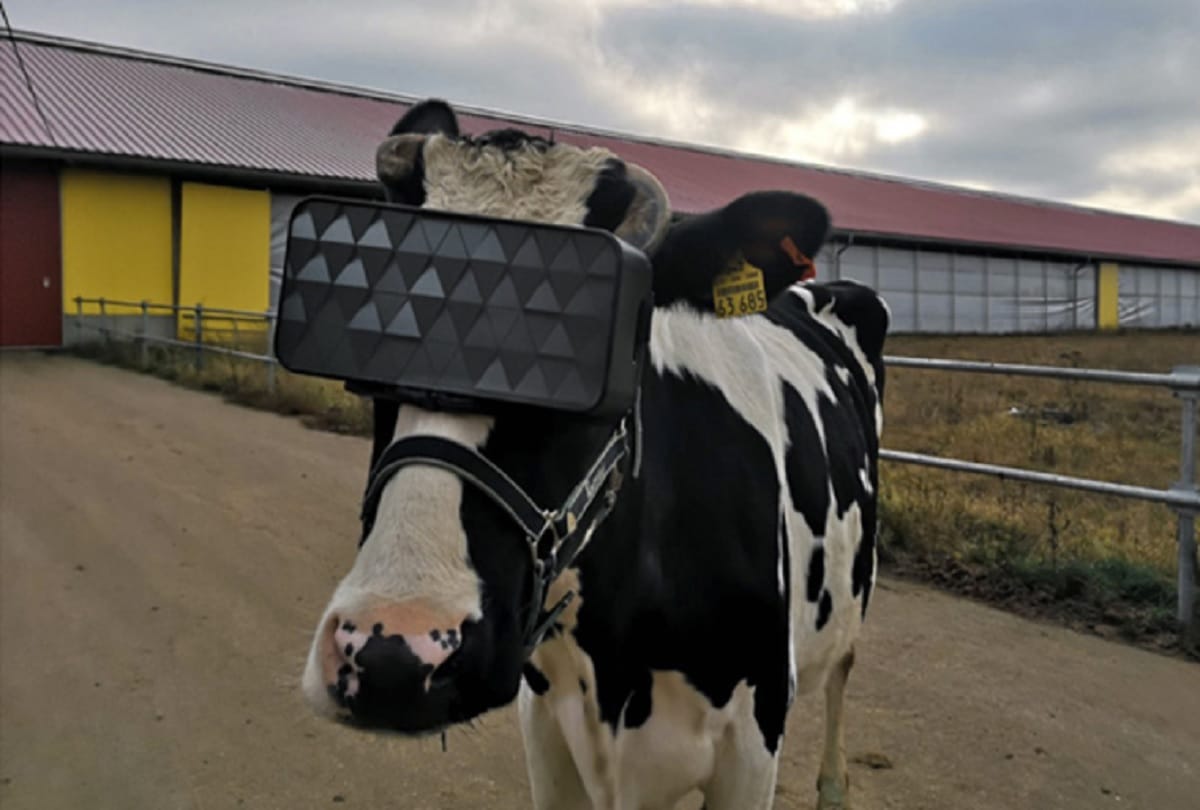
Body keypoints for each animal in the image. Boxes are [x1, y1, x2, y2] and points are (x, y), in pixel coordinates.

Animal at [300, 98, 890, 810]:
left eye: (600, 345)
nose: (393, 655)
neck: (618, 652)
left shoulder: (754, 743)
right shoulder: (549, 730)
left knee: (842, 671)